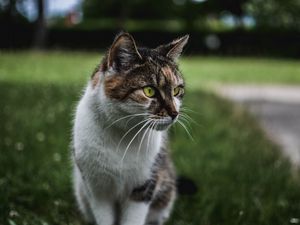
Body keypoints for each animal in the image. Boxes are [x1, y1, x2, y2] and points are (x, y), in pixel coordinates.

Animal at [72, 32, 189, 225]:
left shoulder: (144, 185)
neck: (123, 135)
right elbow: (104, 218)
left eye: (176, 90)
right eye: (149, 91)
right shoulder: (97, 188)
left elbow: (133, 219)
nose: (175, 113)